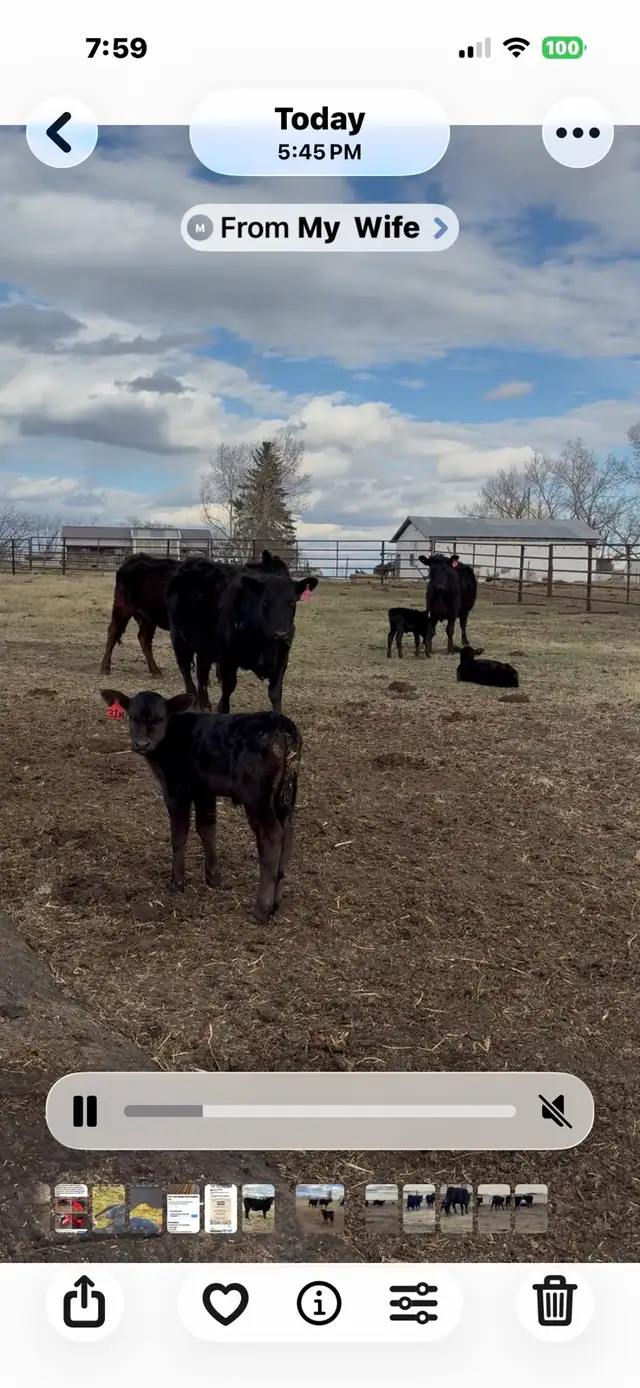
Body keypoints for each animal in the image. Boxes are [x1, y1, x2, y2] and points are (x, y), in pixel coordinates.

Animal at [100, 689, 302, 922]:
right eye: (132, 717)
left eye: (160, 719)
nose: (141, 743)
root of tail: (282, 727)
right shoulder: (204, 789)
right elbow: (207, 828)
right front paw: (214, 878)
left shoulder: (176, 789)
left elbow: (179, 835)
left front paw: (177, 882)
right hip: (285, 795)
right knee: (288, 832)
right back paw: (276, 902)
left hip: (256, 796)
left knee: (272, 837)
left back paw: (261, 909)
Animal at [166, 550, 318, 712]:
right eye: (265, 601)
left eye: (291, 602)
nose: (280, 633)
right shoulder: (227, 658)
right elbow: (228, 688)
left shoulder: (282, 658)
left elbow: (275, 693)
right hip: (179, 640)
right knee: (186, 671)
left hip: (204, 647)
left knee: (202, 676)